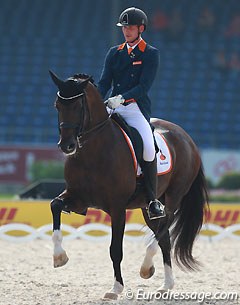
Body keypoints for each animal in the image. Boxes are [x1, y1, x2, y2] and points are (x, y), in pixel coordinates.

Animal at [48, 70, 208, 298]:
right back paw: (166, 285)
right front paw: (59, 256)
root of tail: (186, 137)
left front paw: (116, 288)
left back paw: (146, 267)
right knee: (164, 238)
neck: (93, 150)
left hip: (173, 197)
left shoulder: (117, 208)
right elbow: (55, 205)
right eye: (57, 106)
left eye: (79, 106)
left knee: (164, 227)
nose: (67, 145)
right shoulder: (78, 198)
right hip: (148, 206)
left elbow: (115, 249)